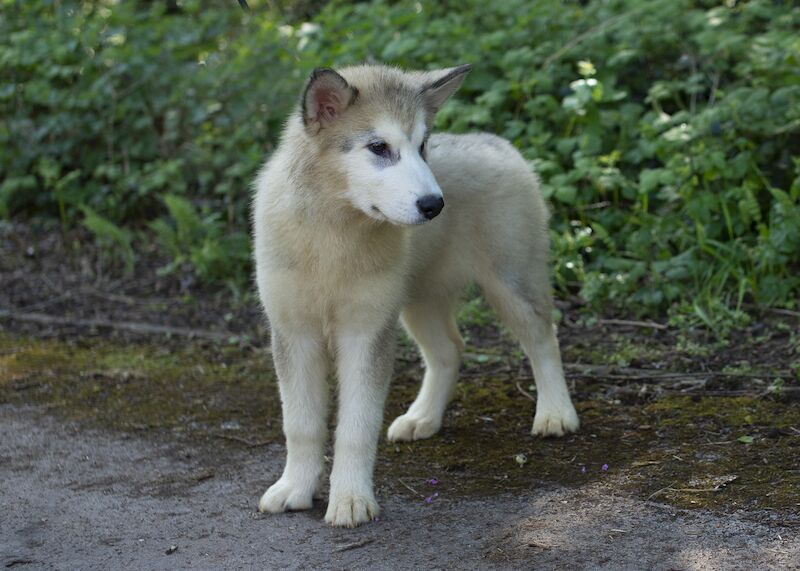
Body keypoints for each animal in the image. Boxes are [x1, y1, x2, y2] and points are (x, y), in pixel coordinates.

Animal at [253, 62, 580, 528]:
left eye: (423, 146)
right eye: (378, 147)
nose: (434, 205)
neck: (333, 233)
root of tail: (494, 141)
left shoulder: (366, 334)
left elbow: (355, 427)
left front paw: (350, 499)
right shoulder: (293, 333)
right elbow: (300, 424)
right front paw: (295, 488)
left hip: (512, 281)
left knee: (542, 337)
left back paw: (556, 413)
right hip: (418, 301)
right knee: (449, 350)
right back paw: (423, 418)